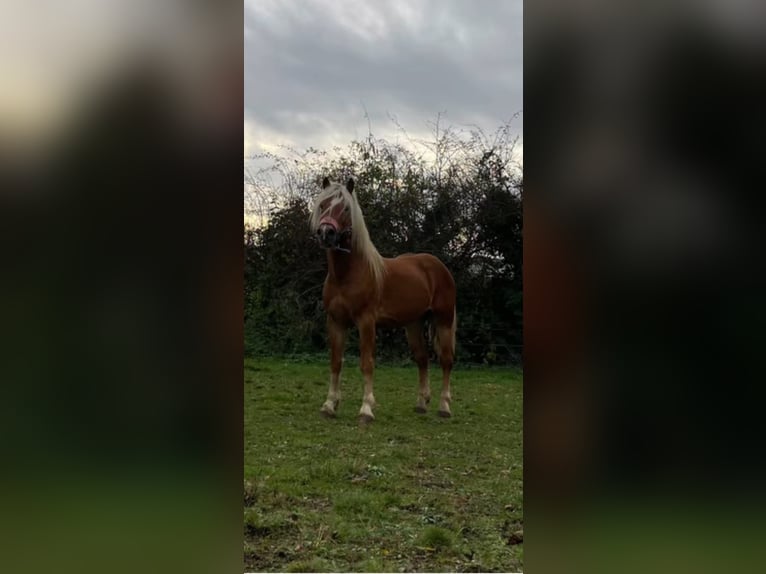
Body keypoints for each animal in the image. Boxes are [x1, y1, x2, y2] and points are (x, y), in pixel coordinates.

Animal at [310, 178, 460, 426]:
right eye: (323, 205)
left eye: (346, 208)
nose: (326, 232)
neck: (348, 275)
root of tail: (439, 266)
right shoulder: (335, 322)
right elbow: (335, 362)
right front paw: (329, 405)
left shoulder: (366, 322)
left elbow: (366, 363)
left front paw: (366, 410)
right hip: (414, 324)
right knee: (422, 359)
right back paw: (421, 404)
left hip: (444, 320)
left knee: (446, 360)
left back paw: (444, 407)